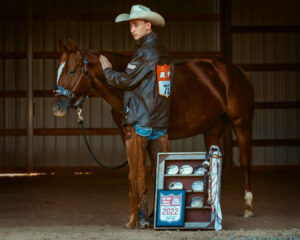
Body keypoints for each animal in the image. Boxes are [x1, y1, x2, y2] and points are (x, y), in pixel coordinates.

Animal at [52, 39, 254, 229]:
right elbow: (139, 174)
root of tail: (236, 70)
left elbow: (147, 173)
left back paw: (248, 207)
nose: (57, 107)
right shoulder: (130, 136)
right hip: (211, 130)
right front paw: (144, 217)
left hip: (241, 124)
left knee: (245, 162)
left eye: (71, 71)